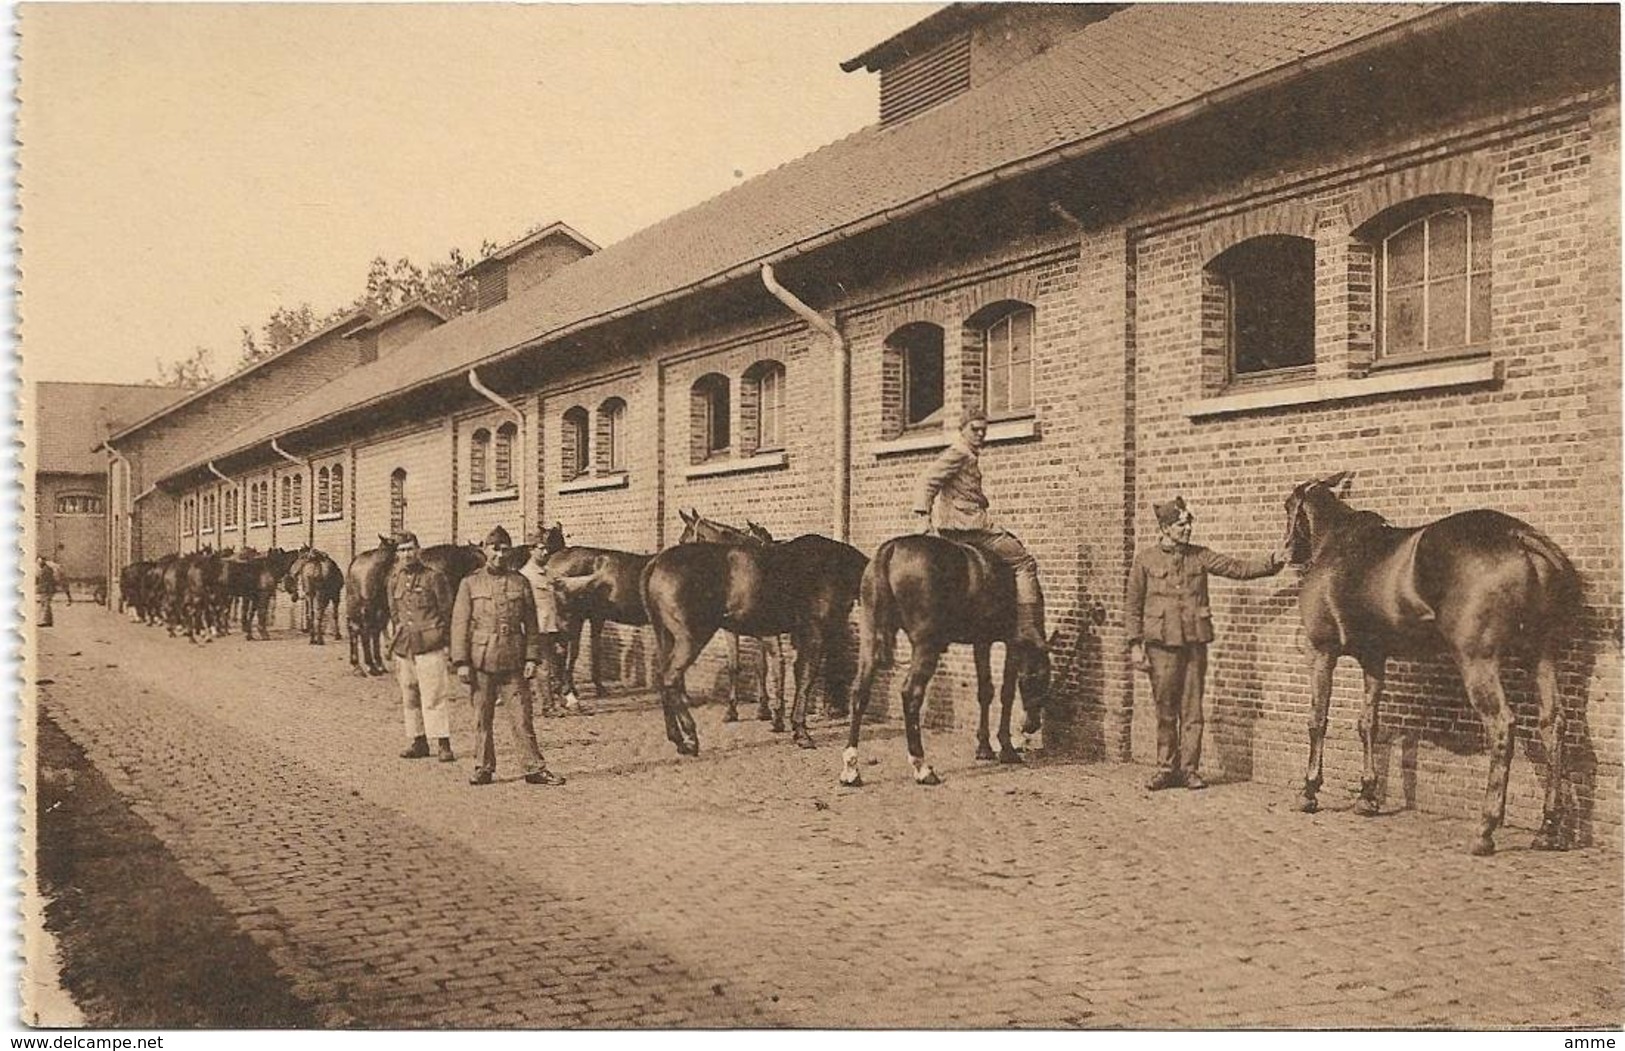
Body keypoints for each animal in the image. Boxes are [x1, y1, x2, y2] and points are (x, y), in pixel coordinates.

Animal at [640, 513, 871, 753]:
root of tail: (656, 563)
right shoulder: (814, 633)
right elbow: (806, 677)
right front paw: (800, 731)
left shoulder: (798, 636)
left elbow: (794, 673)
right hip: (691, 637)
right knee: (670, 678)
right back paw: (690, 736)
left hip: (665, 636)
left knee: (663, 678)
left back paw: (678, 738)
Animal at [838, 536, 1053, 789]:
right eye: (1042, 679)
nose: (1032, 725)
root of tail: (891, 549)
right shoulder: (1012, 644)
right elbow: (1006, 694)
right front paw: (1007, 749)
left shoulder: (982, 642)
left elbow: (985, 692)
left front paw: (984, 748)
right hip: (926, 645)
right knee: (910, 694)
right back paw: (922, 767)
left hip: (870, 638)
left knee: (859, 693)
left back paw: (851, 769)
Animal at [1274, 474, 1579, 857]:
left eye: (1288, 506)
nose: (1284, 552)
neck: (1333, 542)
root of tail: (1518, 536)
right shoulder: (1373, 659)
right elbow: (1368, 724)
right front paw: (1367, 797)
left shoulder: (1321, 652)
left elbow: (1317, 721)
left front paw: (1309, 791)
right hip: (1540, 655)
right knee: (1553, 725)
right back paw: (1548, 828)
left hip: (1477, 660)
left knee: (1502, 726)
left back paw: (1485, 829)